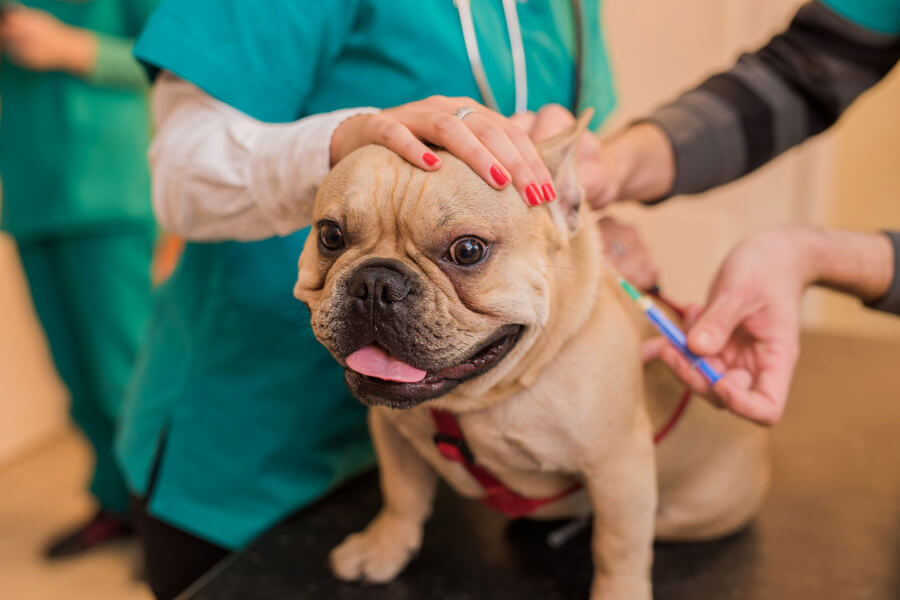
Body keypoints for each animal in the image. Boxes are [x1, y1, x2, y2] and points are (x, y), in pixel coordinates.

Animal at [294, 115, 768, 596]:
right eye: (330, 235)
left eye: (467, 250)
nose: (376, 284)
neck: (475, 400)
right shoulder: (392, 433)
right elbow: (401, 494)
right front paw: (384, 548)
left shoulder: (619, 469)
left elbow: (619, 549)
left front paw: (619, 592)